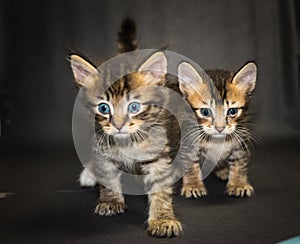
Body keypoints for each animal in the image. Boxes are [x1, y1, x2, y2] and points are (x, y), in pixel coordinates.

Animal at [70, 18, 183, 236]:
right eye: (103, 108)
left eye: (134, 107)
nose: (118, 125)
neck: (127, 142)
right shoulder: (102, 147)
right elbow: (106, 174)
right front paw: (111, 201)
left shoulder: (158, 154)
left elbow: (160, 187)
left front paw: (163, 219)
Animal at [177, 61, 256, 198]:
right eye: (205, 112)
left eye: (232, 111)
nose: (220, 128)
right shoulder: (188, 140)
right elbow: (190, 164)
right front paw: (193, 185)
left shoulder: (241, 139)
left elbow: (239, 162)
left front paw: (238, 184)